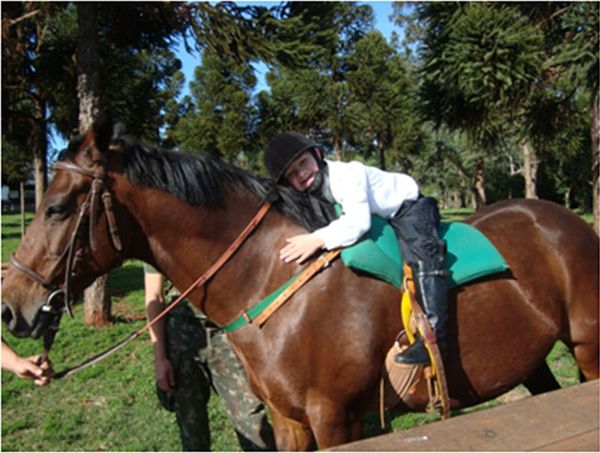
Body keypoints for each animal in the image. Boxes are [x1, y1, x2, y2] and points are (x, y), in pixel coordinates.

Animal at [2, 115, 596, 446]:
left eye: (56, 208)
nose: (11, 306)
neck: (273, 279)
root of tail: (567, 222)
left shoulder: (335, 418)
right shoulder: (288, 419)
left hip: (588, 347)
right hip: (535, 360)